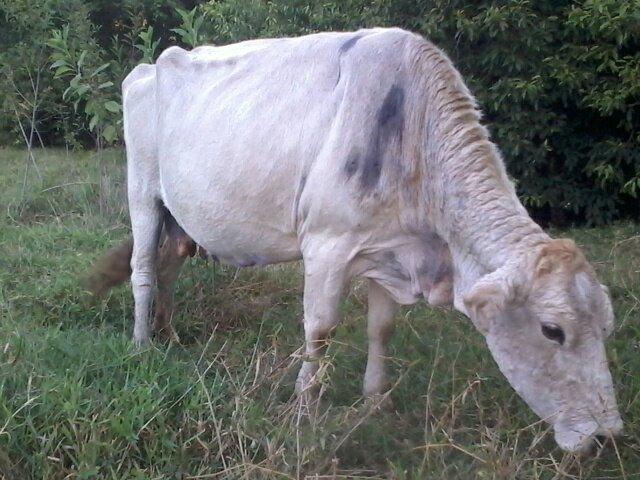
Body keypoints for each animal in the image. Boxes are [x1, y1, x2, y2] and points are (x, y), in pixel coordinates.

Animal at [95, 27, 621, 452]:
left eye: (606, 325)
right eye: (553, 330)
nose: (608, 435)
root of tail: (150, 64)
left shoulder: (387, 250)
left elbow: (380, 328)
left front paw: (374, 402)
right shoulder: (328, 244)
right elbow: (321, 329)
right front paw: (304, 409)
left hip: (181, 217)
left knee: (170, 262)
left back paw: (168, 330)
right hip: (142, 191)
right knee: (144, 267)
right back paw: (143, 342)